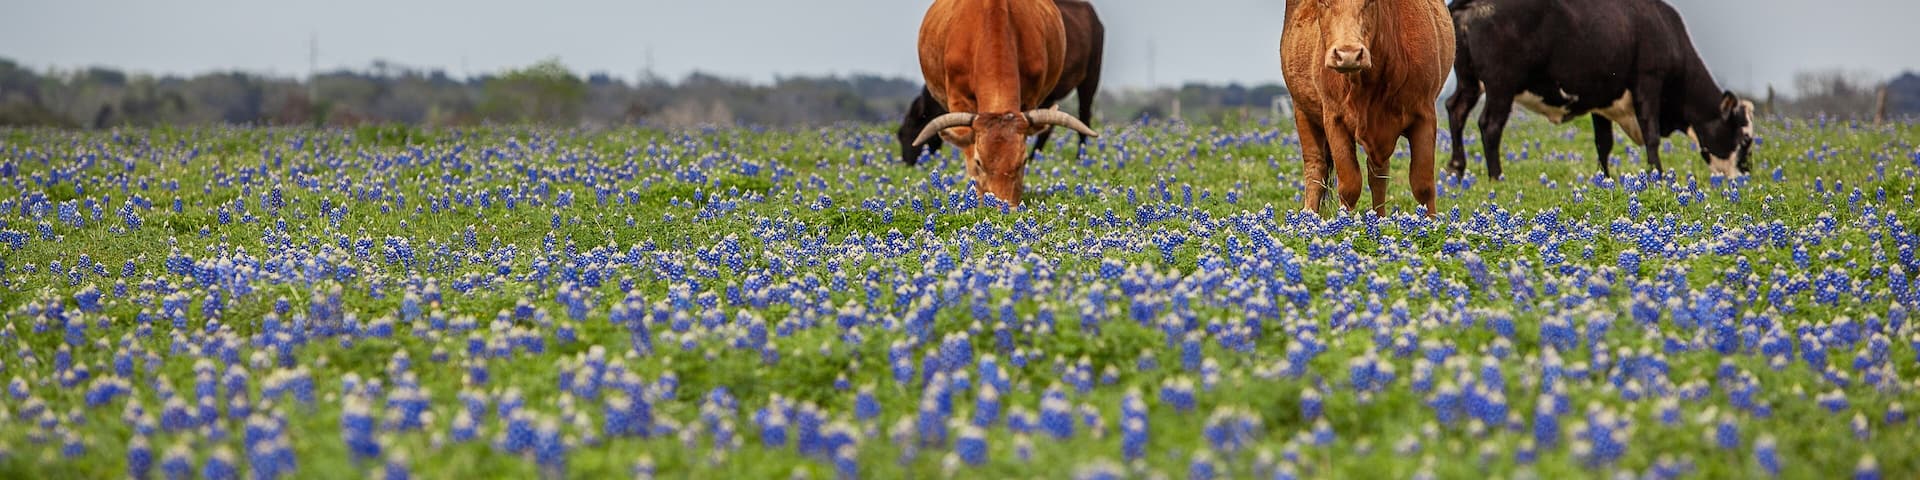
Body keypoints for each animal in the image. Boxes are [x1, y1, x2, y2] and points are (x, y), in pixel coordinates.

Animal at [913, 0, 1100, 208]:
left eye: (1023, 161)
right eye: (979, 162)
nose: (1003, 208)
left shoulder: (1030, 98)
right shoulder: (957, 98)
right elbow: (967, 146)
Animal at [1282, 0, 1456, 216]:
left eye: (1370, 2)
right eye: (1323, 2)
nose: (1348, 55)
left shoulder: (1424, 115)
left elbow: (1423, 185)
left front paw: (1432, 222)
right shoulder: (1334, 119)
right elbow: (1349, 186)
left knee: (1378, 175)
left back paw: (1380, 218)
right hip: (1302, 110)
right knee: (1315, 167)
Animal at [1443, 0, 1755, 179]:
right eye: (1744, 138)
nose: (1745, 175)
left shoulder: (1601, 99)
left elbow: (1604, 143)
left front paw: (1604, 179)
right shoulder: (1648, 82)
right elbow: (1652, 135)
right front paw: (1657, 174)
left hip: (1470, 80)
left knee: (1455, 110)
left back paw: (1457, 170)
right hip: (1501, 84)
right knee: (1490, 125)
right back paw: (1496, 176)